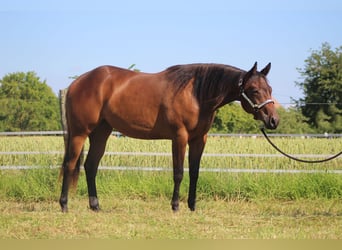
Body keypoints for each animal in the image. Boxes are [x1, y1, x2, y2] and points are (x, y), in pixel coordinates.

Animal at [59, 61, 278, 212]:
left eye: (270, 89)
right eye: (254, 90)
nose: (273, 120)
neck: (196, 94)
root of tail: (78, 82)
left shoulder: (199, 139)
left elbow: (195, 172)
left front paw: (192, 206)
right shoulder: (179, 137)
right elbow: (179, 172)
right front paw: (175, 205)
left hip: (101, 133)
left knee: (90, 166)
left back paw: (95, 205)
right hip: (79, 133)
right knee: (70, 165)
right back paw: (64, 205)